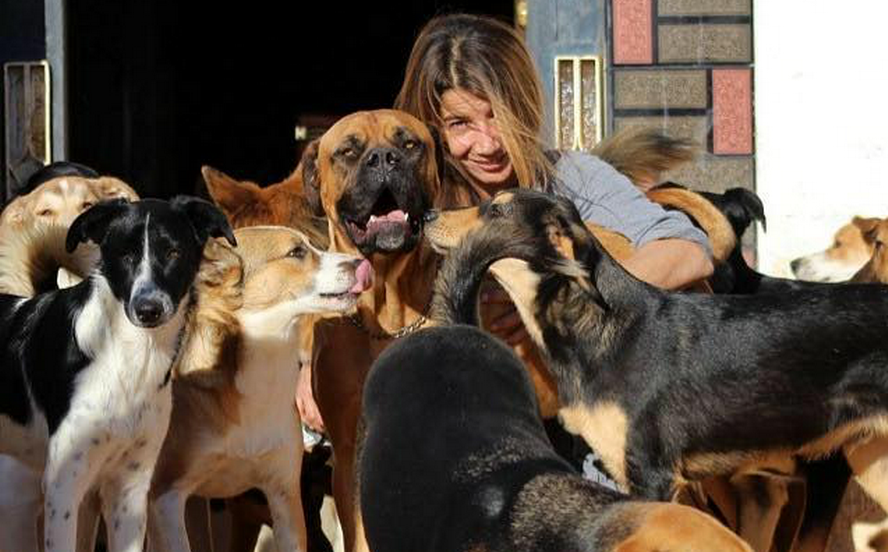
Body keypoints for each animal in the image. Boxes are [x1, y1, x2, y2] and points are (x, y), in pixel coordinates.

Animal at [0, 196, 236, 548]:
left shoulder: (130, 489)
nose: (148, 309)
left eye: (173, 253)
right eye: (125, 255)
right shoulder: (63, 486)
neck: (126, 359)